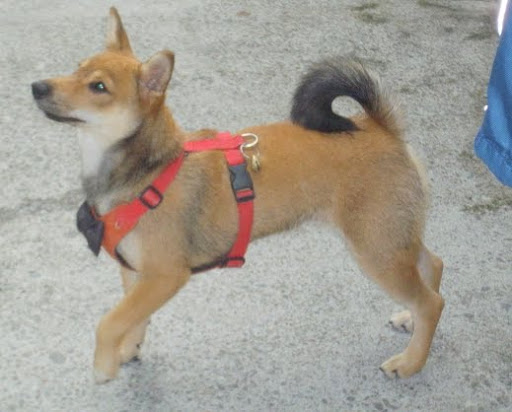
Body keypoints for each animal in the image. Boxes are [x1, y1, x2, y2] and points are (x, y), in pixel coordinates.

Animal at [32, 7, 444, 383]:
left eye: (98, 87)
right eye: (76, 67)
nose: (38, 87)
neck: (150, 168)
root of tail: (381, 128)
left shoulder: (164, 277)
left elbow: (109, 322)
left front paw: (103, 367)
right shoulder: (136, 274)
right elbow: (132, 319)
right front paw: (129, 349)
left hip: (377, 248)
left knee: (431, 302)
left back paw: (411, 361)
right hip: (392, 238)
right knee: (433, 265)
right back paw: (410, 322)